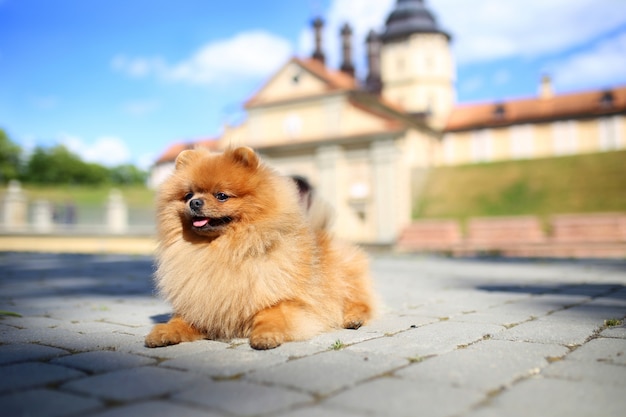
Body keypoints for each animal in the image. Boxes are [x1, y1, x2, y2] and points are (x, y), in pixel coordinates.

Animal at [144, 146, 372, 348]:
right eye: (188, 195)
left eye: (221, 196)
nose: (195, 203)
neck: (224, 249)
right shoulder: (202, 305)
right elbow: (180, 320)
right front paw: (164, 331)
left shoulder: (286, 301)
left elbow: (270, 315)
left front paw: (266, 335)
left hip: (346, 279)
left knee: (361, 302)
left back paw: (353, 318)